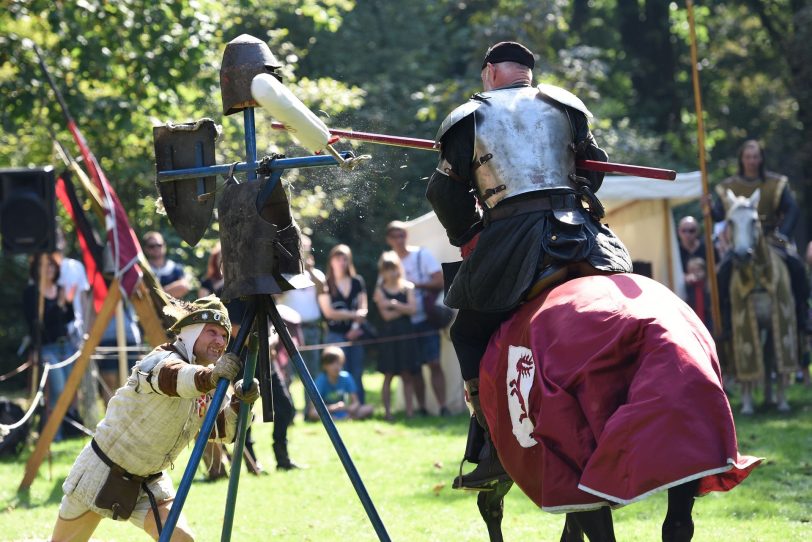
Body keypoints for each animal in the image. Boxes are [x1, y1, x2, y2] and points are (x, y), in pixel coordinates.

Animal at [724, 189, 800, 414]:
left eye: (754, 220)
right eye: (730, 221)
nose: (742, 254)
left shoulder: (780, 321)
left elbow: (776, 358)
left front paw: (782, 403)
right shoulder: (745, 324)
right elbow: (749, 357)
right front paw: (748, 406)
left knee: (768, 359)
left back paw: (770, 398)